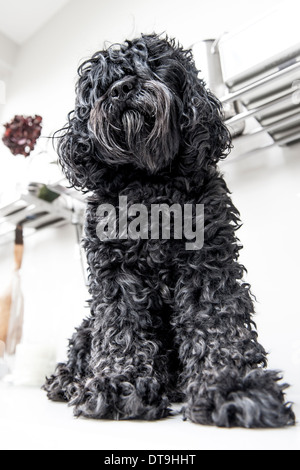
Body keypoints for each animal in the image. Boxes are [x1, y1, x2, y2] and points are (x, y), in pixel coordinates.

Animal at [43, 33, 294, 428]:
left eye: (154, 67)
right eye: (101, 84)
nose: (122, 88)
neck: (150, 183)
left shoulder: (208, 264)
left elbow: (216, 321)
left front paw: (233, 387)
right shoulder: (117, 273)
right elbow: (121, 329)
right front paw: (119, 385)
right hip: (86, 324)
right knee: (81, 347)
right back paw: (69, 380)